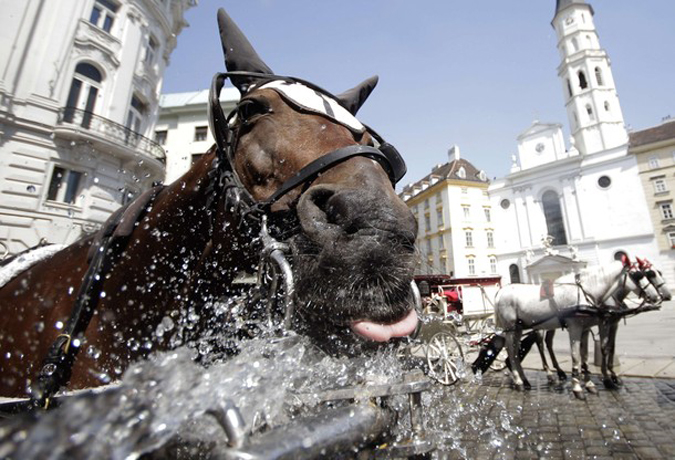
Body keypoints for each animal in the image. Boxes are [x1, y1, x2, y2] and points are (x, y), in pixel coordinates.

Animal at [496, 260, 660, 398]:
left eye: (647, 274)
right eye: (638, 276)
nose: (657, 297)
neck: (585, 292)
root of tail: (501, 292)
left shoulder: (586, 328)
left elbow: (586, 355)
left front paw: (589, 383)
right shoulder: (577, 328)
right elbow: (577, 355)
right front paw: (578, 386)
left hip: (518, 328)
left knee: (517, 352)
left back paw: (525, 380)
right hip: (511, 328)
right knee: (512, 350)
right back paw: (519, 380)